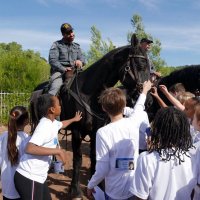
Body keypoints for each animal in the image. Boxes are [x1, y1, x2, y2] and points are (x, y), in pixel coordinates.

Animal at [30, 33, 151, 199]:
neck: (88, 94)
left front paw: (96, 187)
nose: (148, 96)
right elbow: (78, 159)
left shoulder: (95, 130)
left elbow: (95, 157)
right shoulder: (76, 131)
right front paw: (75, 190)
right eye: (139, 65)